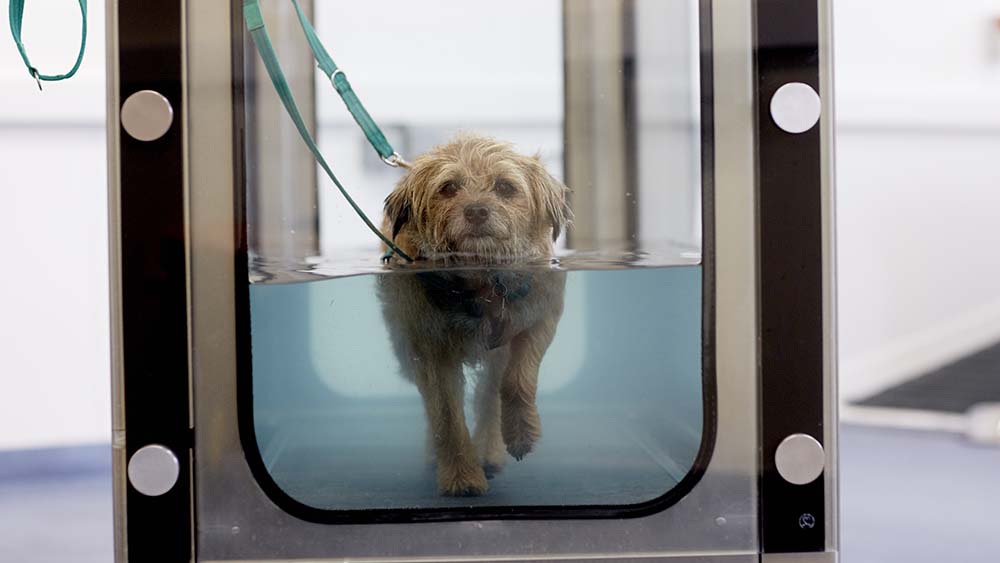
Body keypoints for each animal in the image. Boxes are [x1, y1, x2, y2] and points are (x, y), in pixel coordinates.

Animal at [376, 134, 572, 496]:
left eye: (505, 187)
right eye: (448, 187)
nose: (477, 211)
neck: (480, 278)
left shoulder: (540, 319)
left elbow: (518, 379)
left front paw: (521, 433)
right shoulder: (432, 350)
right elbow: (447, 415)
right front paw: (461, 477)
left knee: (489, 393)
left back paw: (491, 451)